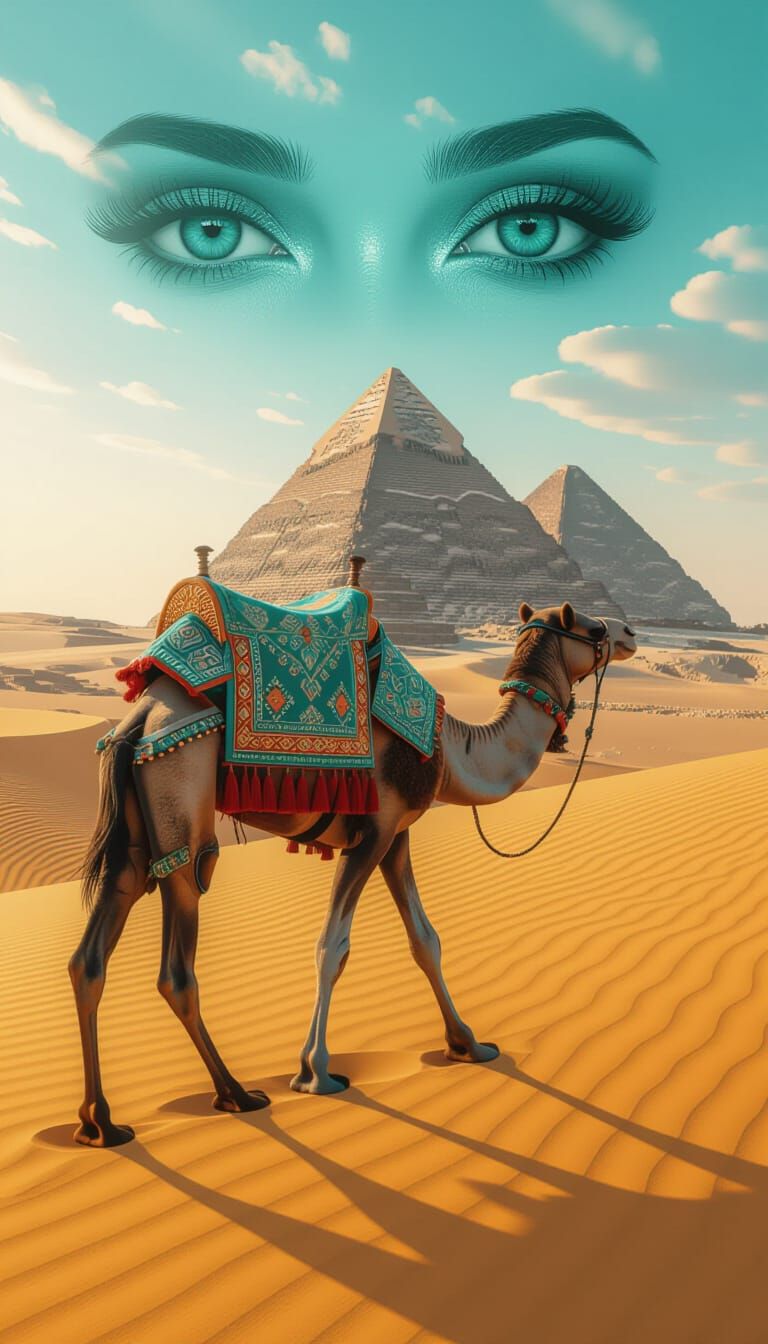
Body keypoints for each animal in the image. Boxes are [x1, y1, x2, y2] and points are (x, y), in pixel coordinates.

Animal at [70, 598, 637, 1146]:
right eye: (591, 630)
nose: (628, 632)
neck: (451, 750)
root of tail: (139, 721)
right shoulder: (374, 834)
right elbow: (332, 948)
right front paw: (314, 1072)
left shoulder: (398, 837)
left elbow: (425, 941)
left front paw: (468, 1044)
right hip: (180, 786)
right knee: (178, 963)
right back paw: (236, 1093)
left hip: (134, 835)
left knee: (90, 958)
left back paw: (101, 1124)